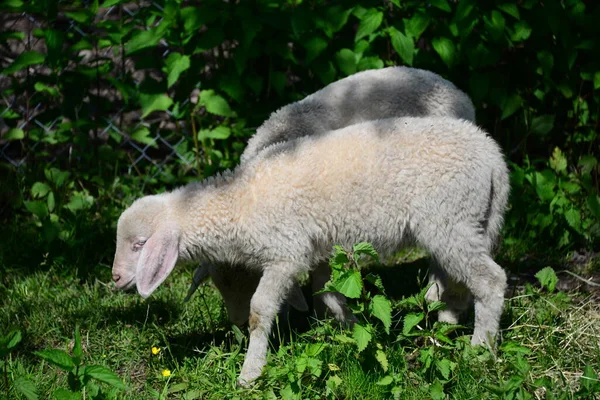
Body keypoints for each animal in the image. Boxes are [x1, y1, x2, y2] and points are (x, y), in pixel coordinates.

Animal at [112, 117, 510, 386]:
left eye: (139, 244)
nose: (115, 278)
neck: (239, 202)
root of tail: (493, 155)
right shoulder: (318, 251)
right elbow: (329, 296)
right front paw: (352, 333)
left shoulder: (285, 254)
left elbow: (261, 311)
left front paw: (250, 373)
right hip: (464, 223)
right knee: (459, 279)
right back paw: (447, 325)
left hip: (450, 219)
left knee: (490, 281)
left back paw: (479, 351)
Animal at [185, 66, 476, 324]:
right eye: (218, 285)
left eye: (255, 280)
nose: (240, 324)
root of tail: (454, 89)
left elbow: (325, 277)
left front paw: (335, 318)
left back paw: (437, 296)